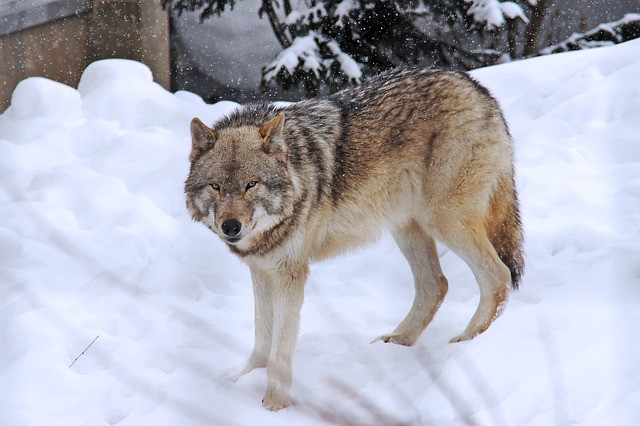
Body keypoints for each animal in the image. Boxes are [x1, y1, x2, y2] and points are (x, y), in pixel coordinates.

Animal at [185, 68, 524, 411]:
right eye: (216, 186)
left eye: (251, 184)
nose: (231, 227)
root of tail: (476, 87)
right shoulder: (262, 270)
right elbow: (262, 335)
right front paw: (244, 380)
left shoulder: (290, 273)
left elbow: (281, 343)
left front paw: (274, 404)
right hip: (407, 227)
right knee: (436, 285)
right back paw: (397, 341)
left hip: (446, 221)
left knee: (498, 276)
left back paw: (468, 342)